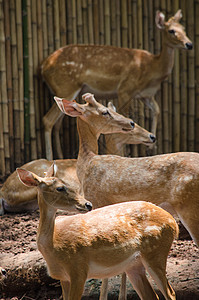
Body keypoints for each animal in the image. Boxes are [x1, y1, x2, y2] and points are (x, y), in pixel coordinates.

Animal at [17, 164, 179, 300]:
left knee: (170, 293)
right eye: (60, 188)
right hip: (134, 265)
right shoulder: (63, 278)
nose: (88, 204)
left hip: (156, 252)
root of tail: (173, 223)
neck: (55, 247)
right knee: (152, 295)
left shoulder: (78, 269)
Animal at [41, 8, 192, 159]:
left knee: (57, 123)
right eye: (171, 30)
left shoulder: (146, 95)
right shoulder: (125, 89)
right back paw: (49, 158)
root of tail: (43, 67)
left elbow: (157, 110)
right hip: (67, 87)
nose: (189, 44)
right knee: (48, 120)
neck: (152, 70)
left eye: (184, 28)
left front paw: (151, 147)